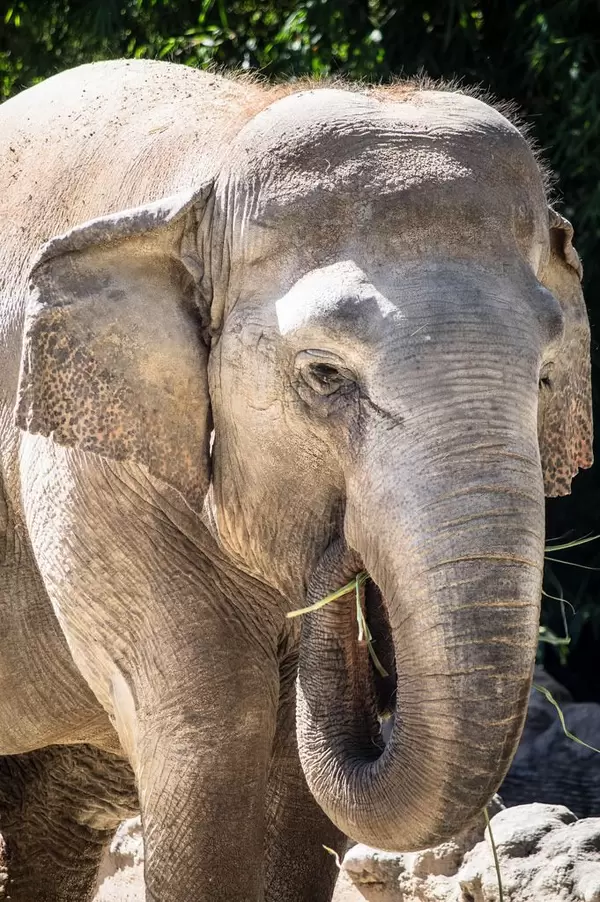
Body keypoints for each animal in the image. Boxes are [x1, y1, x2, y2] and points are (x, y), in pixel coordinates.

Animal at [0, 58, 593, 902]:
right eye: (323, 375)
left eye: (545, 376)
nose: (347, 557)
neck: (213, 168)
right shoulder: (89, 476)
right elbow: (214, 738)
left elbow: (301, 790)